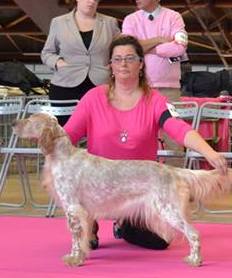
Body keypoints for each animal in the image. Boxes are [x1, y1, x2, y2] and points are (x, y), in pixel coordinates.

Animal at [13, 113, 232, 268]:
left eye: (31, 119)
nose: (14, 123)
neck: (63, 156)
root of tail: (173, 170)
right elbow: (82, 238)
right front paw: (81, 256)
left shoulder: (73, 209)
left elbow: (75, 239)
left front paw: (74, 259)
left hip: (169, 210)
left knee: (193, 234)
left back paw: (194, 260)